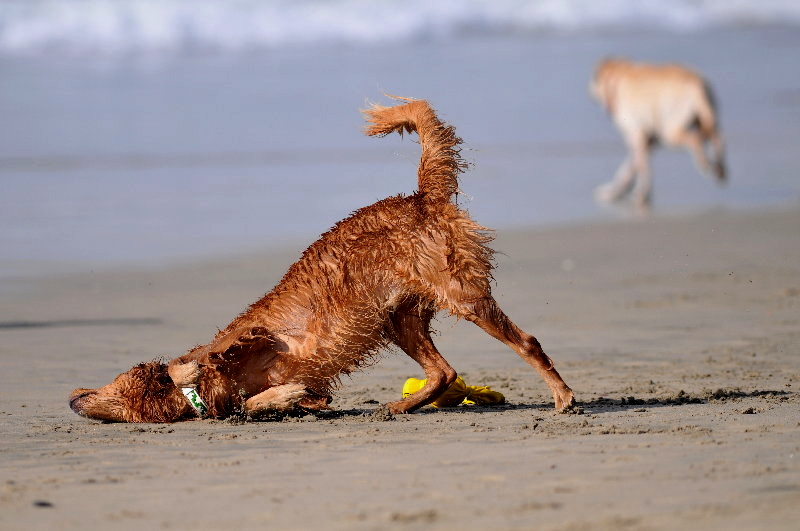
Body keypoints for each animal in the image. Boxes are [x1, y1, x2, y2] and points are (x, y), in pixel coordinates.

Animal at [69, 97, 576, 423]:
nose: (72, 398)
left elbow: (210, 356)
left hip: (460, 294)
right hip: (398, 318)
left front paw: (196, 368)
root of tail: (420, 197)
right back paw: (397, 407)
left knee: (527, 342)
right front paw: (285, 398)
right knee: (444, 372)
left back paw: (564, 395)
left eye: (112, 389)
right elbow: (263, 401)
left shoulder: (252, 339)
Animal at [590, 58, 726, 210]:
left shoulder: (636, 134)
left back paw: (706, 166)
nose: (590, 88)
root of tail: (697, 85)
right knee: (717, 137)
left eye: (595, 78)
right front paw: (615, 192)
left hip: (671, 131)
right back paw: (720, 170)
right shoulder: (652, 139)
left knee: (695, 140)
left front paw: (641, 195)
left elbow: (640, 167)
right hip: (702, 120)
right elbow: (630, 167)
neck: (618, 78)